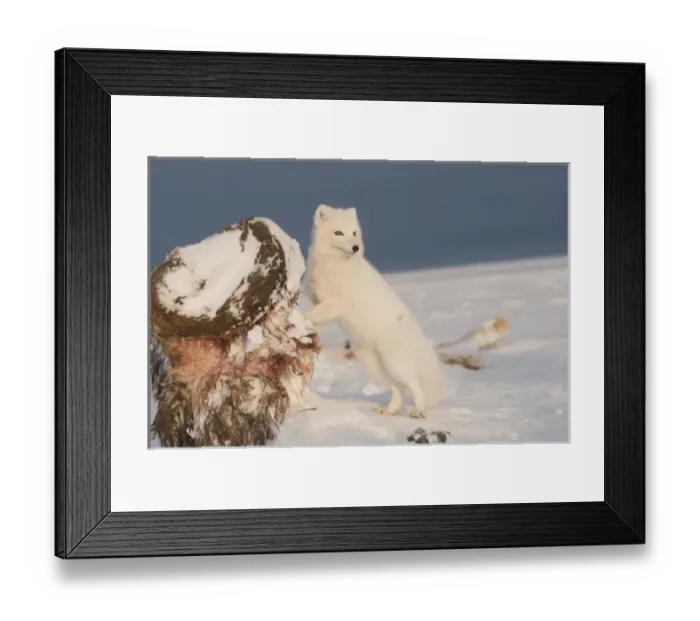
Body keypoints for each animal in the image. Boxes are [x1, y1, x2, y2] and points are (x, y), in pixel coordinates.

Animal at [304, 204, 445, 419]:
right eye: (339, 233)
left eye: (354, 233)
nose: (355, 247)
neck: (333, 266)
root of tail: (417, 334)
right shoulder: (321, 302)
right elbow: (316, 317)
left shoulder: (337, 303)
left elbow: (311, 313)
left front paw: (296, 317)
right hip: (374, 365)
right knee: (398, 390)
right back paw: (389, 410)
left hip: (395, 362)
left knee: (414, 387)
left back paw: (418, 411)